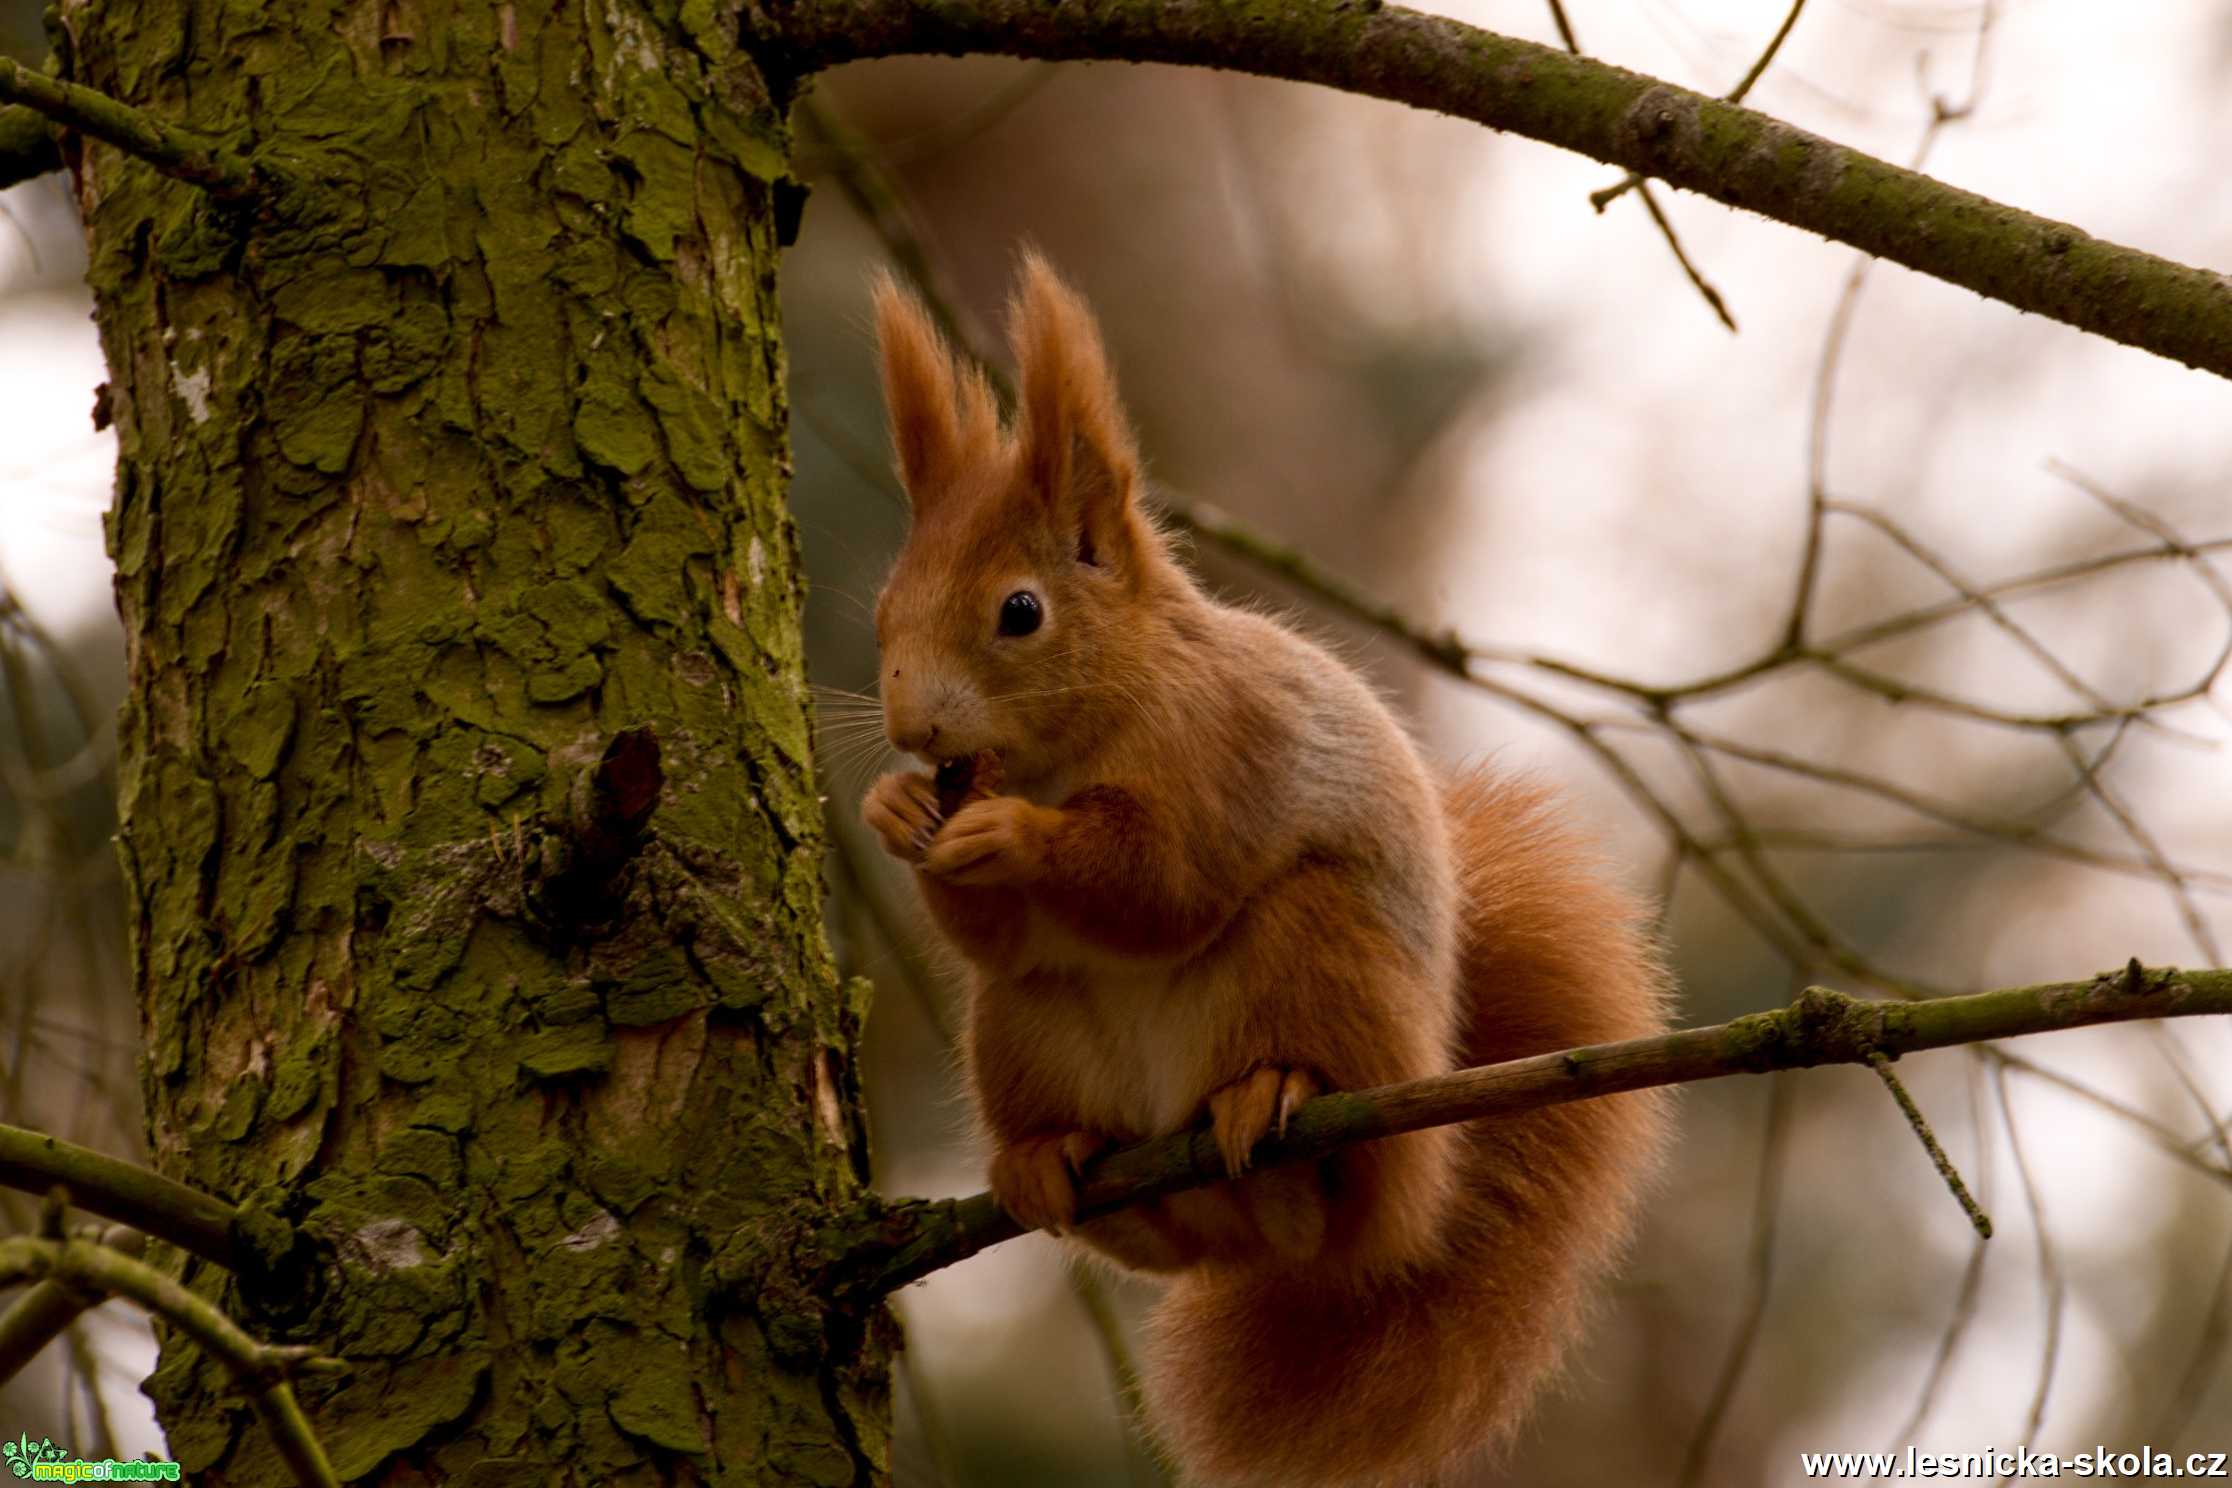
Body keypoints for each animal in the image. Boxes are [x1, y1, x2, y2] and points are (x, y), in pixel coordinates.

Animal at [861, 256, 1669, 1488]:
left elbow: (1162, 884)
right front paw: (895, 808)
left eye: (1019, 612)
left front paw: (1014, 837)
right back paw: (1052, 1164)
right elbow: (992, 934)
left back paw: (1272, 1104)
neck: (1081, 736)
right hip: (1022, 1030)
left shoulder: (1225, 750)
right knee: (1142, 1213)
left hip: (1313, 950)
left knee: (1319, 1178)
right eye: (881, 613)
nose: (912, 729)